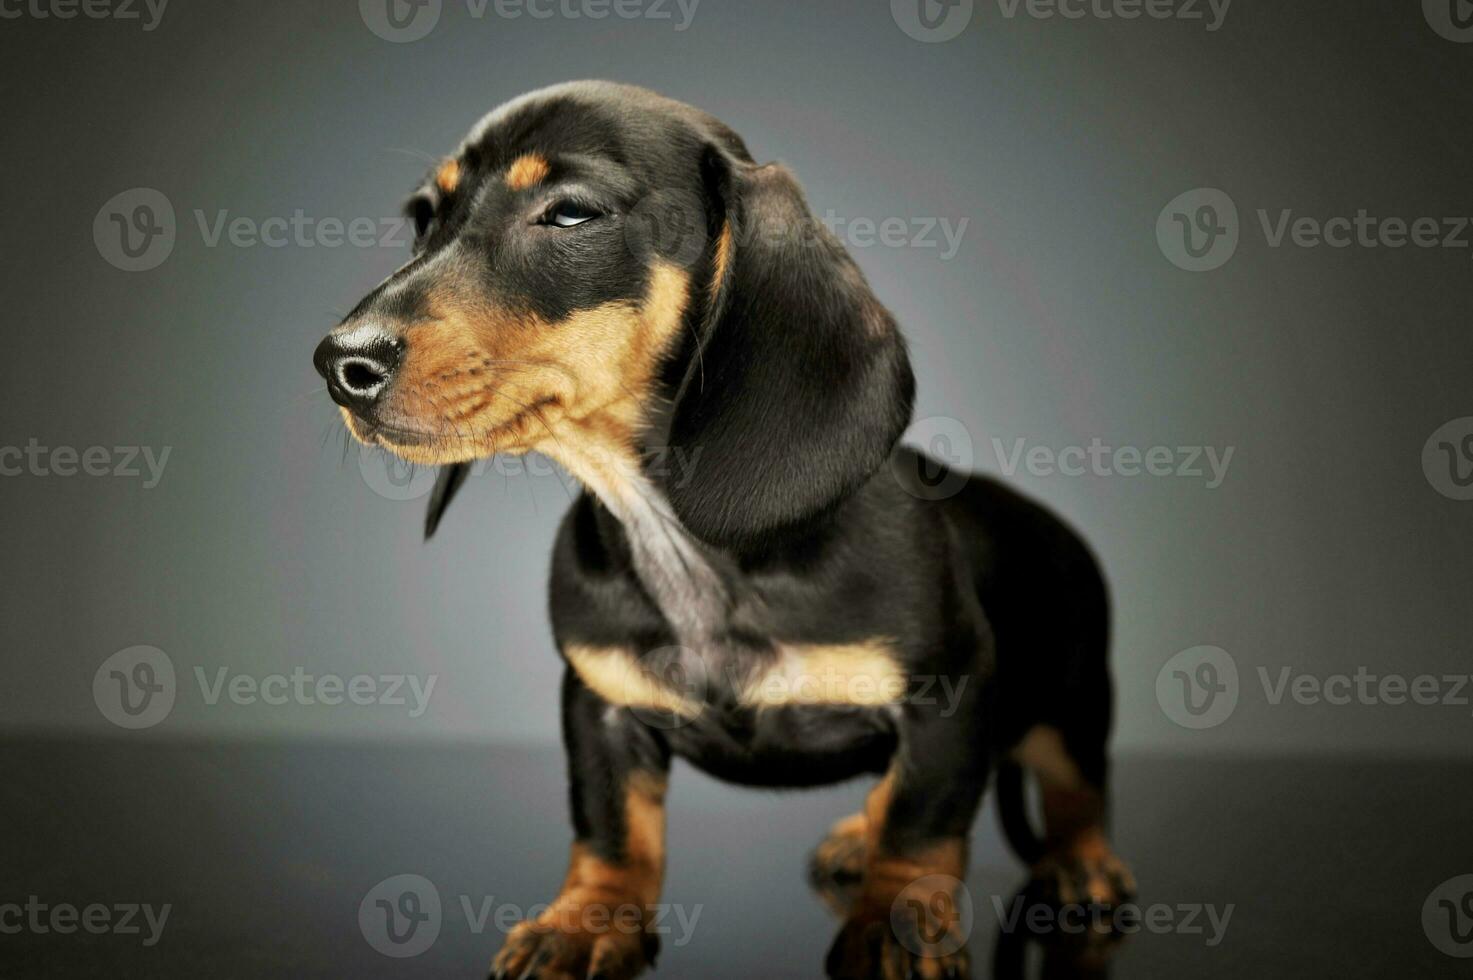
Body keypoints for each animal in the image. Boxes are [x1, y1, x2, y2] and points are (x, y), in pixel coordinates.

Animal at [316, 84, 1131, 978]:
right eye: (424, 217)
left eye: (570, 214)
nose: (341, 365)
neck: (679, 536)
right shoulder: (597, 706)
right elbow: (611, 829)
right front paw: (586, 920)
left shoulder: (950, 693)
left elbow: (923, 824)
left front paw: (896, 924)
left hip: (1073, 697)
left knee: (1074, 787)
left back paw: (1079, 863)